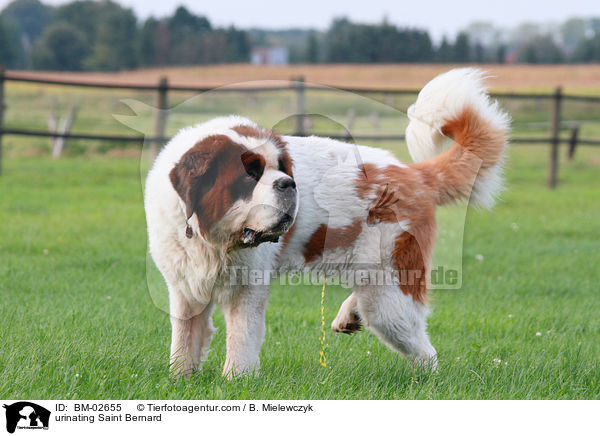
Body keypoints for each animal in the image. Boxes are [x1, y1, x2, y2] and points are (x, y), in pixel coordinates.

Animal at [145, 69, 510, 378]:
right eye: (249, 174)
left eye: (281, 168)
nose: (289, 184)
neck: (212, 238)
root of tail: (410, 173)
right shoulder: (184, 287)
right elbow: (184, 338)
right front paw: (180, 380)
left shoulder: (247, 290)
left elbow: (241, 341)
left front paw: (236, 381)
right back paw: (350, 315)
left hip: (389, 294)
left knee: (423, 349)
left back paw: (424, 381)